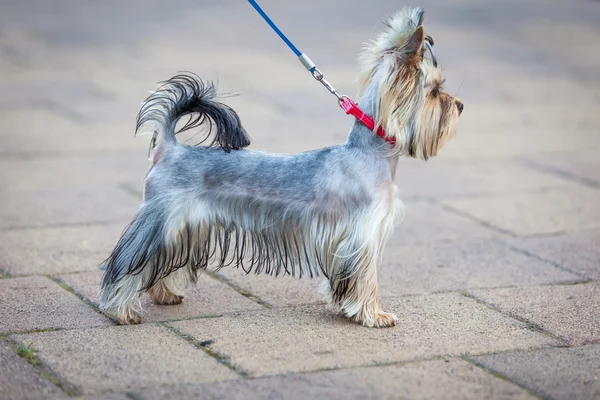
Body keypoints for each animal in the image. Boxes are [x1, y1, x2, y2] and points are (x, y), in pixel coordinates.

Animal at [98, 7, 464, 328]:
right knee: (127, 263)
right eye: (435, 91)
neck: (370, 152)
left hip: (182, 228)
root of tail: (171, 146)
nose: (460, 105)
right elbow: (366, 278)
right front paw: (374, 315)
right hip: (161, 220)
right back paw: (121, 311)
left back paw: (164, 295)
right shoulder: (362, 235)